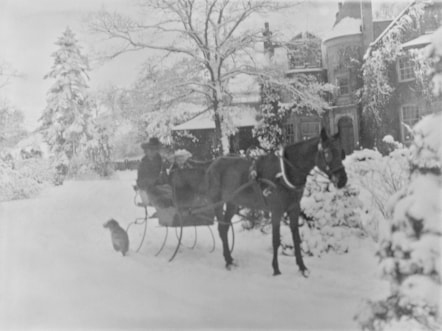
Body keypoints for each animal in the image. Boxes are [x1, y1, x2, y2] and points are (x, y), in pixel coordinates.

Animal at [205, 128, 348, 278]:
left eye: (341, 152)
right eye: (327, 153)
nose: (342, 180)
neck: (285, 174)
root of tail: (212, 165)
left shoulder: (294, 209)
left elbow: (296, 238)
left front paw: (302, 267)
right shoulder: (276, 211)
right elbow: (275, 240)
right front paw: (276, 269)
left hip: (232, 203)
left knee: (225, 228)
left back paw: (230, 259)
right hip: (218, 203)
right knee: (222, 229)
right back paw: (227, 260)